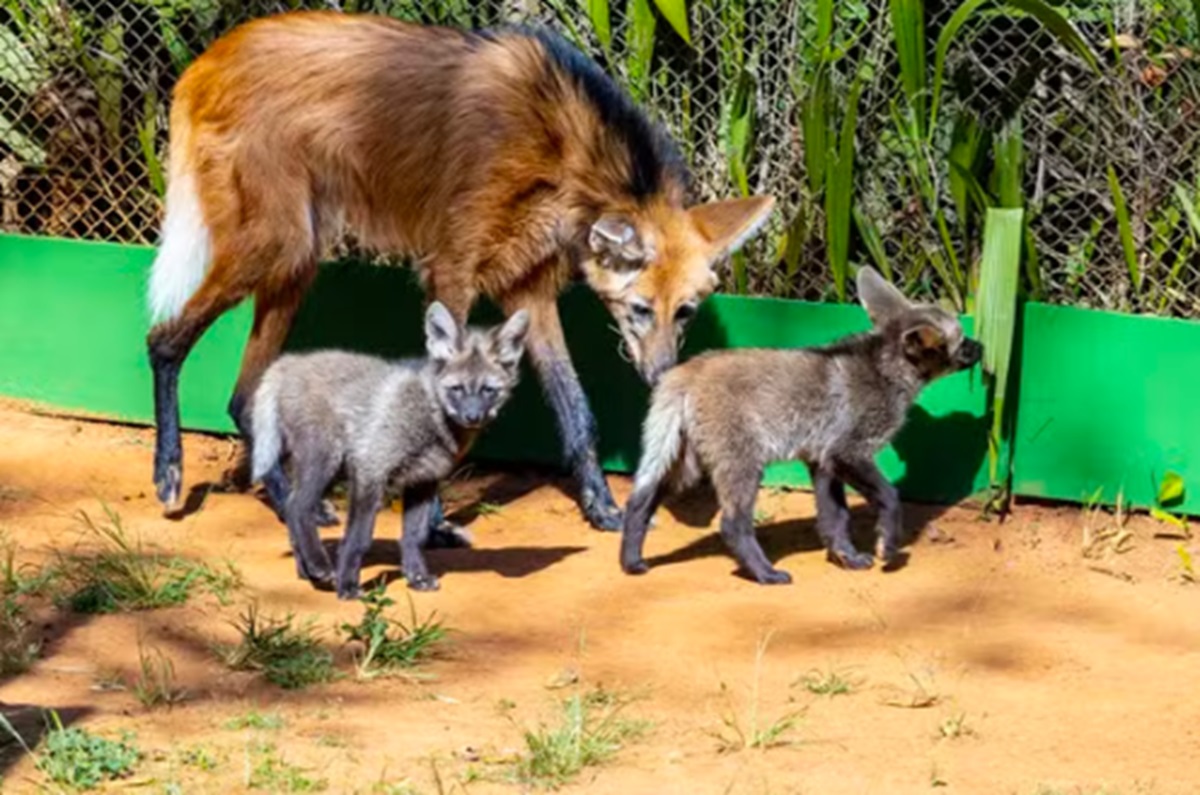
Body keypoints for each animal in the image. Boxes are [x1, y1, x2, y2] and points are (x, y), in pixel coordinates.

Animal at [250, 301, 529, 597]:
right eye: (457, 389)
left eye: (489, 390)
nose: (473, 417)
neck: (429, 416)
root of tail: (288, 361)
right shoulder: (371, 471)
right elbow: (359, 538)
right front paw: (348, 586)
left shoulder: (423, 481)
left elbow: (414, 538)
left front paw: (417, 578)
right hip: (325, 462)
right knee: (297, 508)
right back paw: (319, 565)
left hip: (333, 471)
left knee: (292, 508)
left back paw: (307, 572)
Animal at [620, 267, 983, 584]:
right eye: (962, 340)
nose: (981, 346)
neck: (885, 373)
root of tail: (686, 371)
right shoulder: (848, 453)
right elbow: (891, 497)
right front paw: (888, 546)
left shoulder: (823, 462)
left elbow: (835, 520)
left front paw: (846, 557)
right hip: (743, 467)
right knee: (732, 525)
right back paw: (765, 573)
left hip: (684, 466)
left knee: (638, 502)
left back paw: (631, 561)